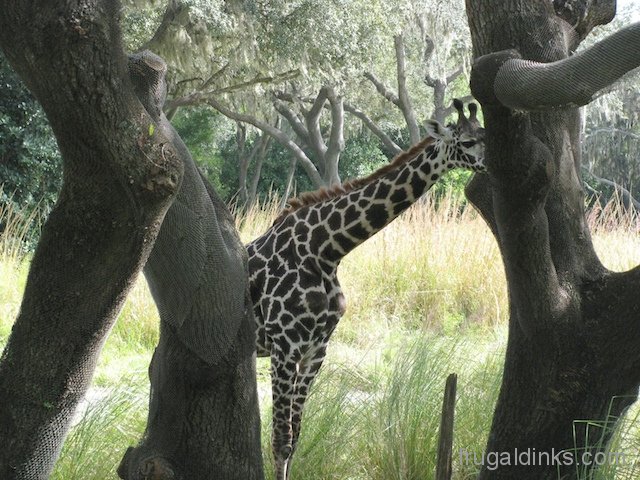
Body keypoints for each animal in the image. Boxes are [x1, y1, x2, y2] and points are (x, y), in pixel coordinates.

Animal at [248, 98, 482, 480]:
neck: (326, 250)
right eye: (467, 141)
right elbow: (280, 440)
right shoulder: (285, 347)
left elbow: (295, 436)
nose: (490, 162)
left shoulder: (316, 349)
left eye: (486, 134)